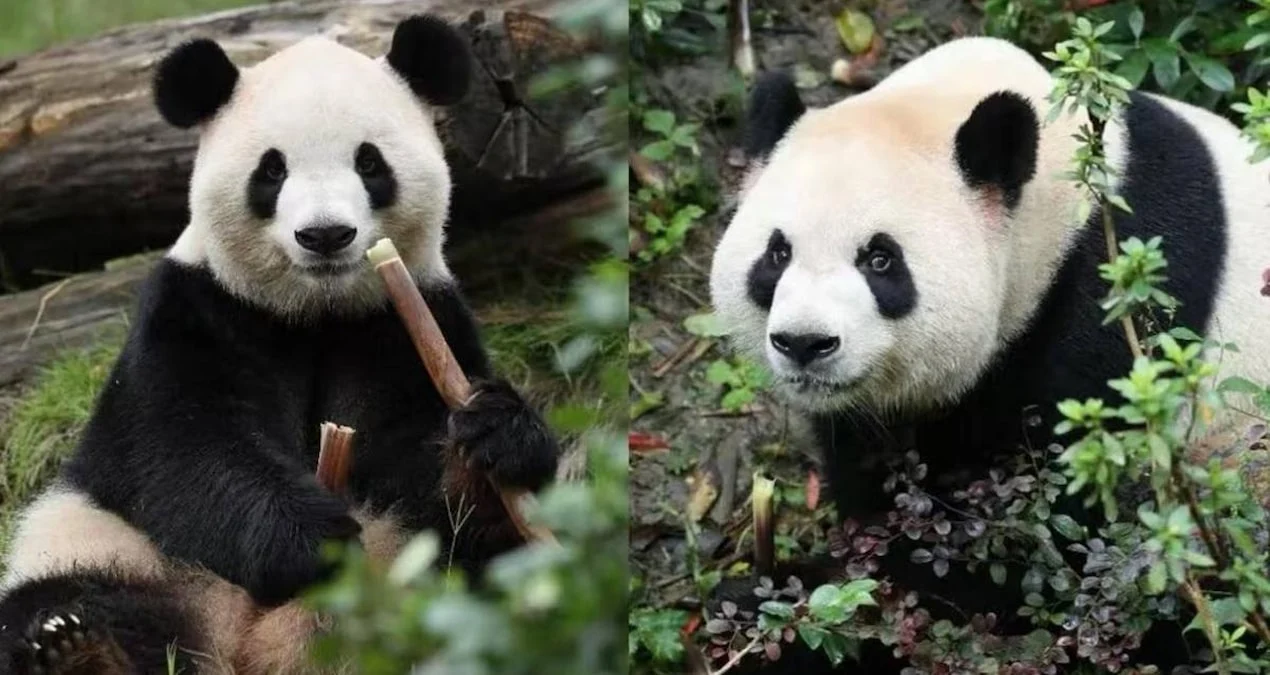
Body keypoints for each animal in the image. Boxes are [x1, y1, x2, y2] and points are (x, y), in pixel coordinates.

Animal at [0, 14, 559, 675]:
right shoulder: (195, 311)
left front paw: (494, 435)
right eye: (272, 171)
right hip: (103, 541)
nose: (325, 235)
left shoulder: (406, 322)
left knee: (490, 579)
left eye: (370, 163)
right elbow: (185, 446)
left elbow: (424, 474)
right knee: (65, 598)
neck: (315, 313)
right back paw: (73, 645)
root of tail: (241, 646)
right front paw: (311, 539)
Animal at [709, 36, 1270, 672]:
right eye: (777, 254)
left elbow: (1034, 554)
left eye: (880, 260)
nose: (805, 343)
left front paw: (797, 610)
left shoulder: (1113, 312)